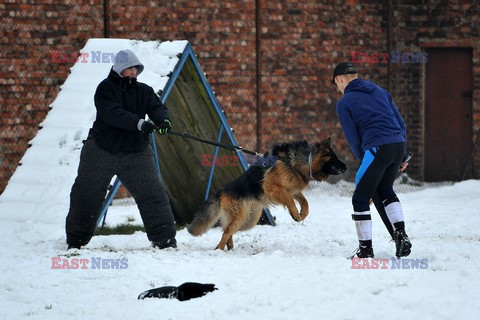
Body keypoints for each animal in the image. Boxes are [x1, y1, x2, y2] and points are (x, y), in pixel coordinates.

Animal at [186, 138, 346, 250]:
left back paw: (230, 248)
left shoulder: (291, 189)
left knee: (227, 230)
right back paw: (219, 250)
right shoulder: (274, 188)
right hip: (241, 218)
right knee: (225, 232)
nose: (346, 167)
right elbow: (290, 201)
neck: (295, 161)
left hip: (248, 220)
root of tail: (221, 192)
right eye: (334, 157)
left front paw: (303, 214)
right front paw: (295, 214)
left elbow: (305, 201)